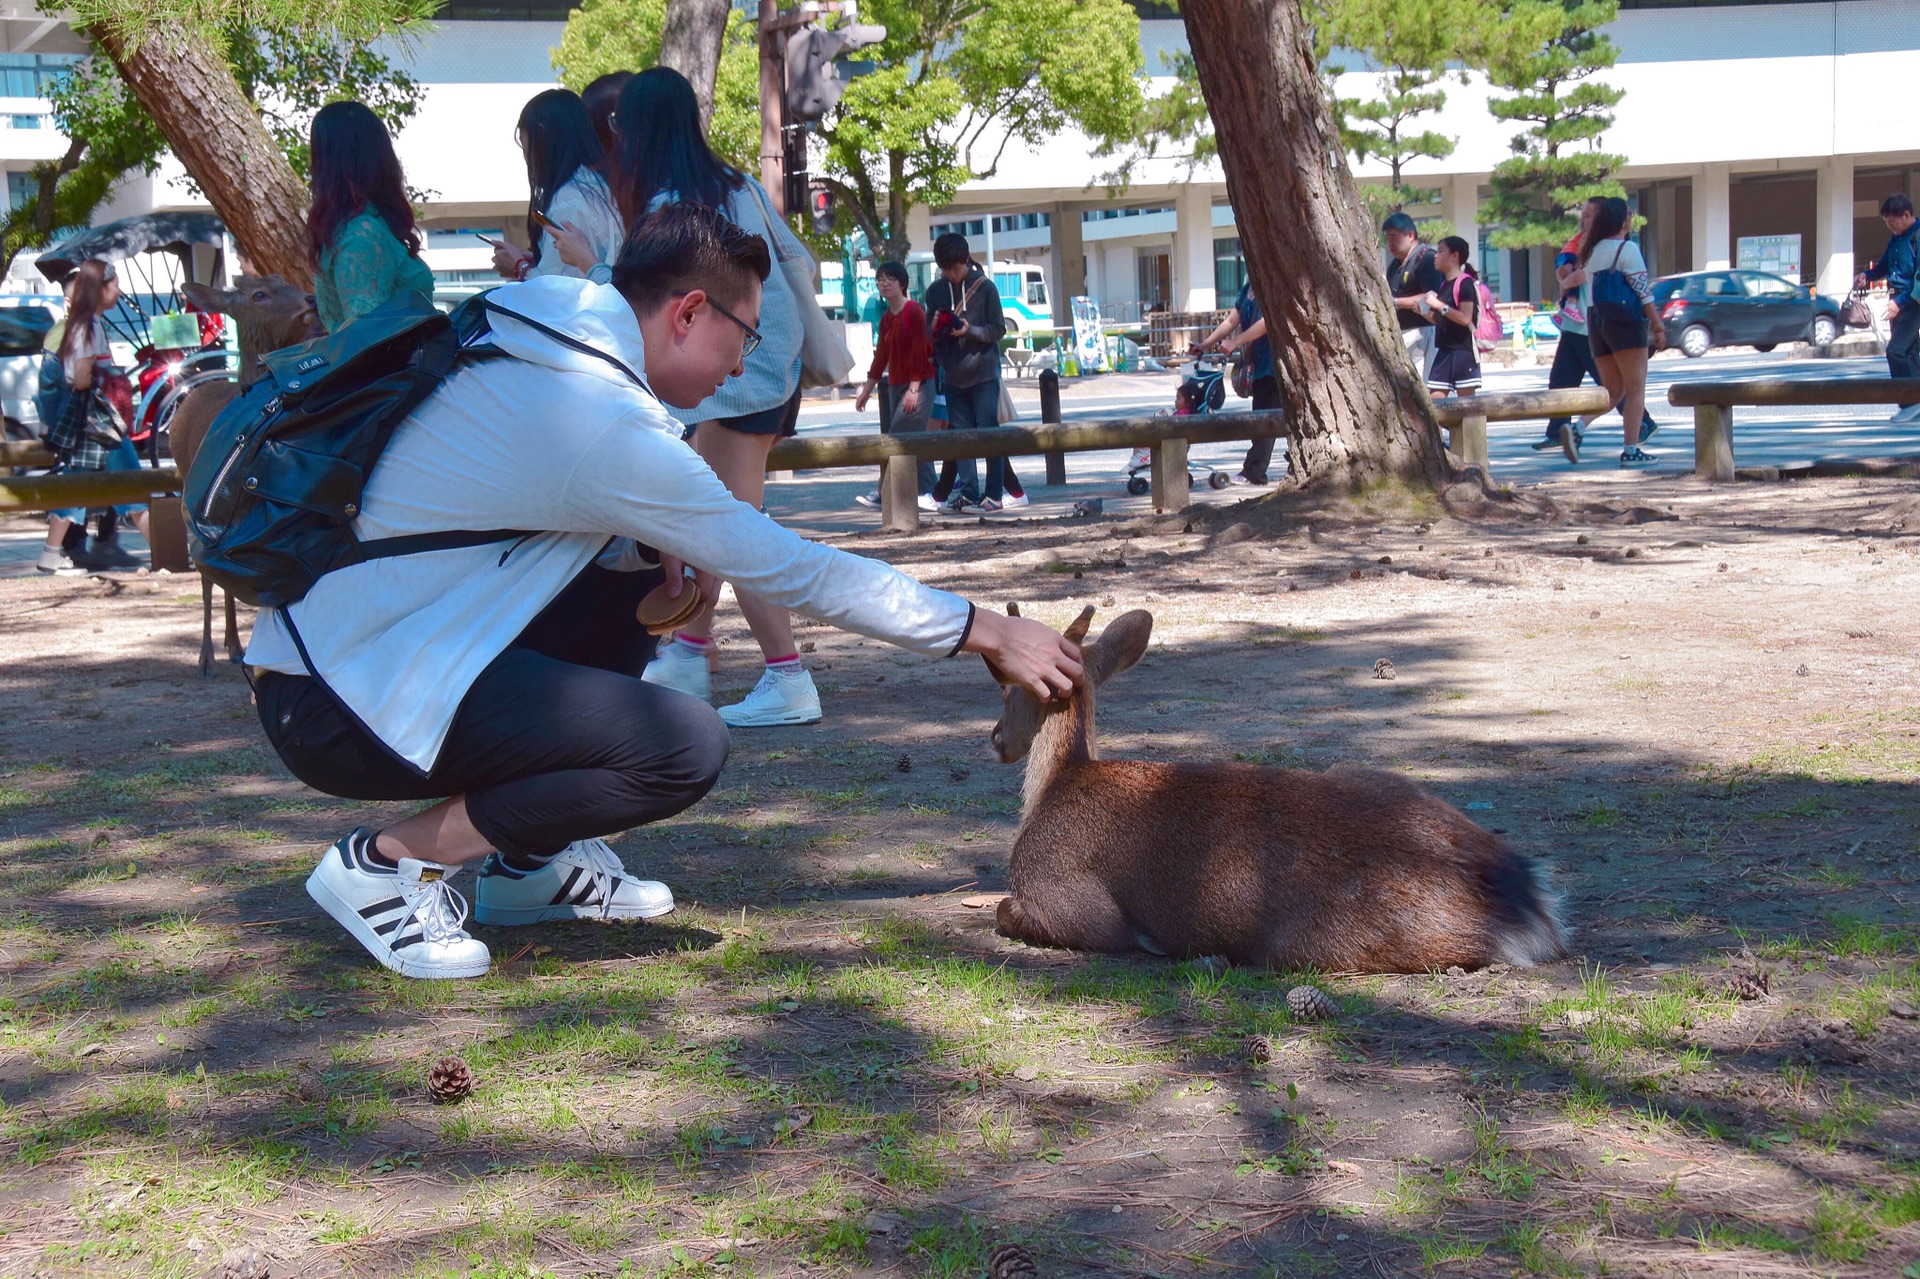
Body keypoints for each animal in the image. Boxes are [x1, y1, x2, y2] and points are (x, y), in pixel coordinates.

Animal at [174, 278, 324, 672]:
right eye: (259, 295)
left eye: (283, 282)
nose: (310, 298)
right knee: (207, 579)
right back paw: (211, 654)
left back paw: (234, 645)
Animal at [983, 606, 1566, 967]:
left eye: (1009, 687)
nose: (996, 739)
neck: (1055, 784)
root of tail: (1526, 900)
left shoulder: (1068, 901)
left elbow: (1006, 911)